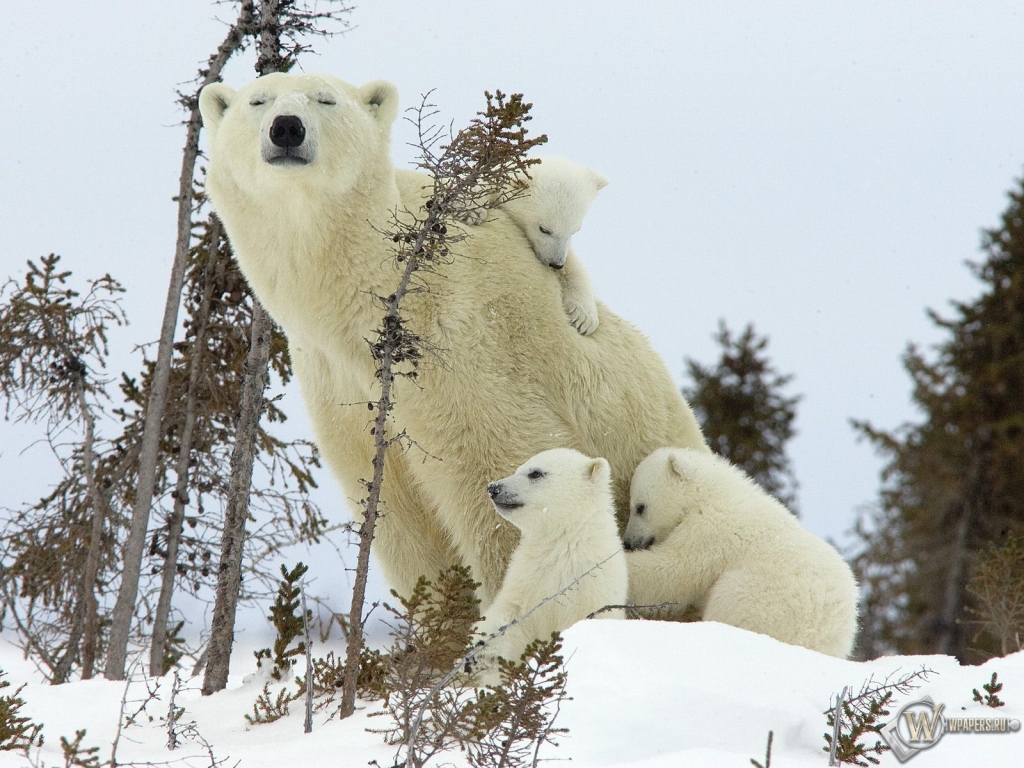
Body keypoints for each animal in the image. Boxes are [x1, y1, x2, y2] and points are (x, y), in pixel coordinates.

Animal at [462, 156, 606, 335]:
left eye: (575, 230)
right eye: (544, 229)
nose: (556, 264)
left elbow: (574, 267)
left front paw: (584, 319)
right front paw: (471, 209)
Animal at [473, 448, 630, 684]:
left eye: (536, 473)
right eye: (518, 468)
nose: (493, 487)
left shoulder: (594, 588)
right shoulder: (528, 578)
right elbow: (511, 615)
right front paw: (482, 650)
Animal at [622, 448, 856, 659]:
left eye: (640, 507)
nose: (628, 542)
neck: (711, 493)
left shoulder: (711, 530)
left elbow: (673, 571)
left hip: (761, 599)